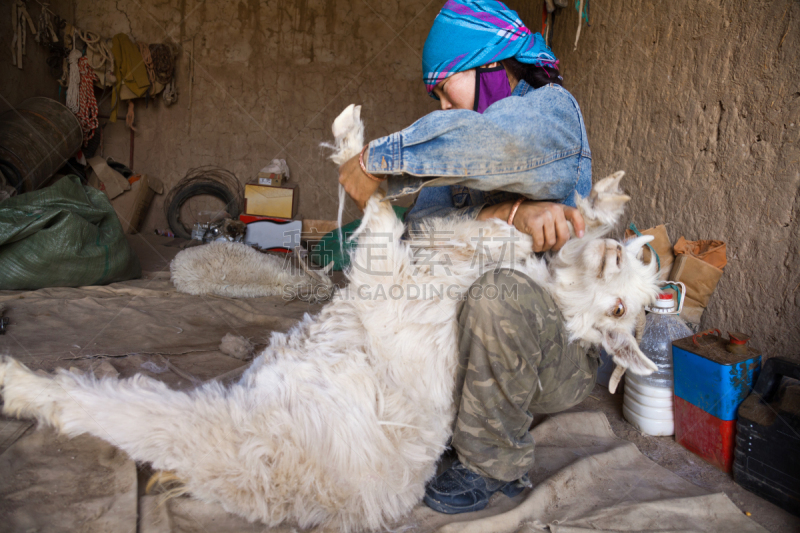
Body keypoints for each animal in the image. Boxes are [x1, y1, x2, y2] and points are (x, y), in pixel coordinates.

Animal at [1, 106, 656, 528]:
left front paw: (350, 142)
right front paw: (597, 204)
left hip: (207, 429)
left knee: (103, 408)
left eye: (623, 309)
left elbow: (378, 207)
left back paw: (19, 383)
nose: (616, 256)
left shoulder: (386, 276)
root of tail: (288, 496)